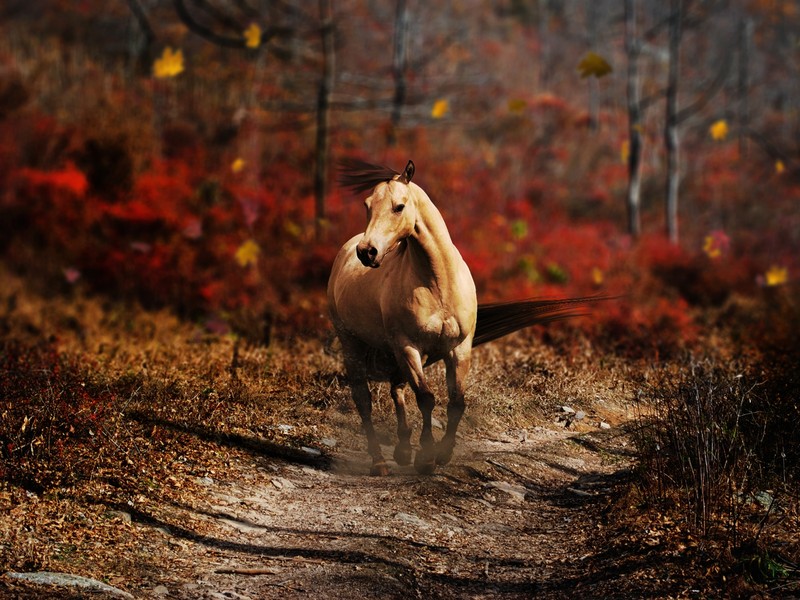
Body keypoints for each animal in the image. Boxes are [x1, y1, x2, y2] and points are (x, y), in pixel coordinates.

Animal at [330, 161, 600, 478]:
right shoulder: (409, 347)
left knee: (397, 389)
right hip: (355, 344)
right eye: (367, 205)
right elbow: (426, 398)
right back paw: (380, 462)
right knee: (364, 400)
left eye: (399, 206)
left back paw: (402, 451)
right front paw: (426, 458)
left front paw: (442, 454)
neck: (437, 282)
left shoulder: (458, 348)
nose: (367, 252)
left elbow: (457, 402)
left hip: (394, 350)